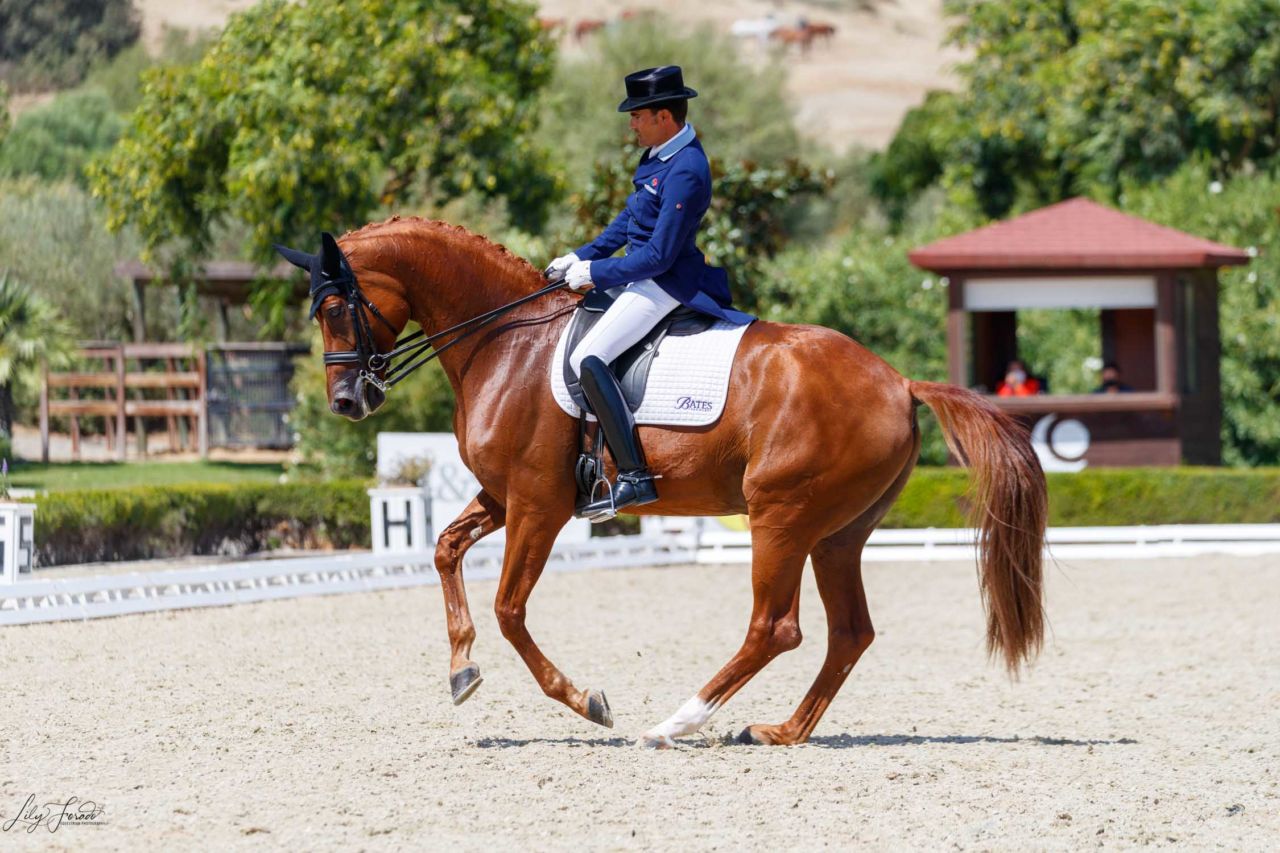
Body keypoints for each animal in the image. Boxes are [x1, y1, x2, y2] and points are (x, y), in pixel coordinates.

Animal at [285, 217, 1044, 742]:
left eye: (334, 308)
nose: (347, 402)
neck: (507, 342)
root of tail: (898, 381)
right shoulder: (503, 497)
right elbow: (444, 550)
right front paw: (461, 670)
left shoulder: (538, 504)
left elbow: (509, 608)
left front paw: (586, 701)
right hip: (838, 533)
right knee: (849, 632)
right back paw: (779, 731)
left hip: (780, 516)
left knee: (776, 627)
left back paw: (678, 722)